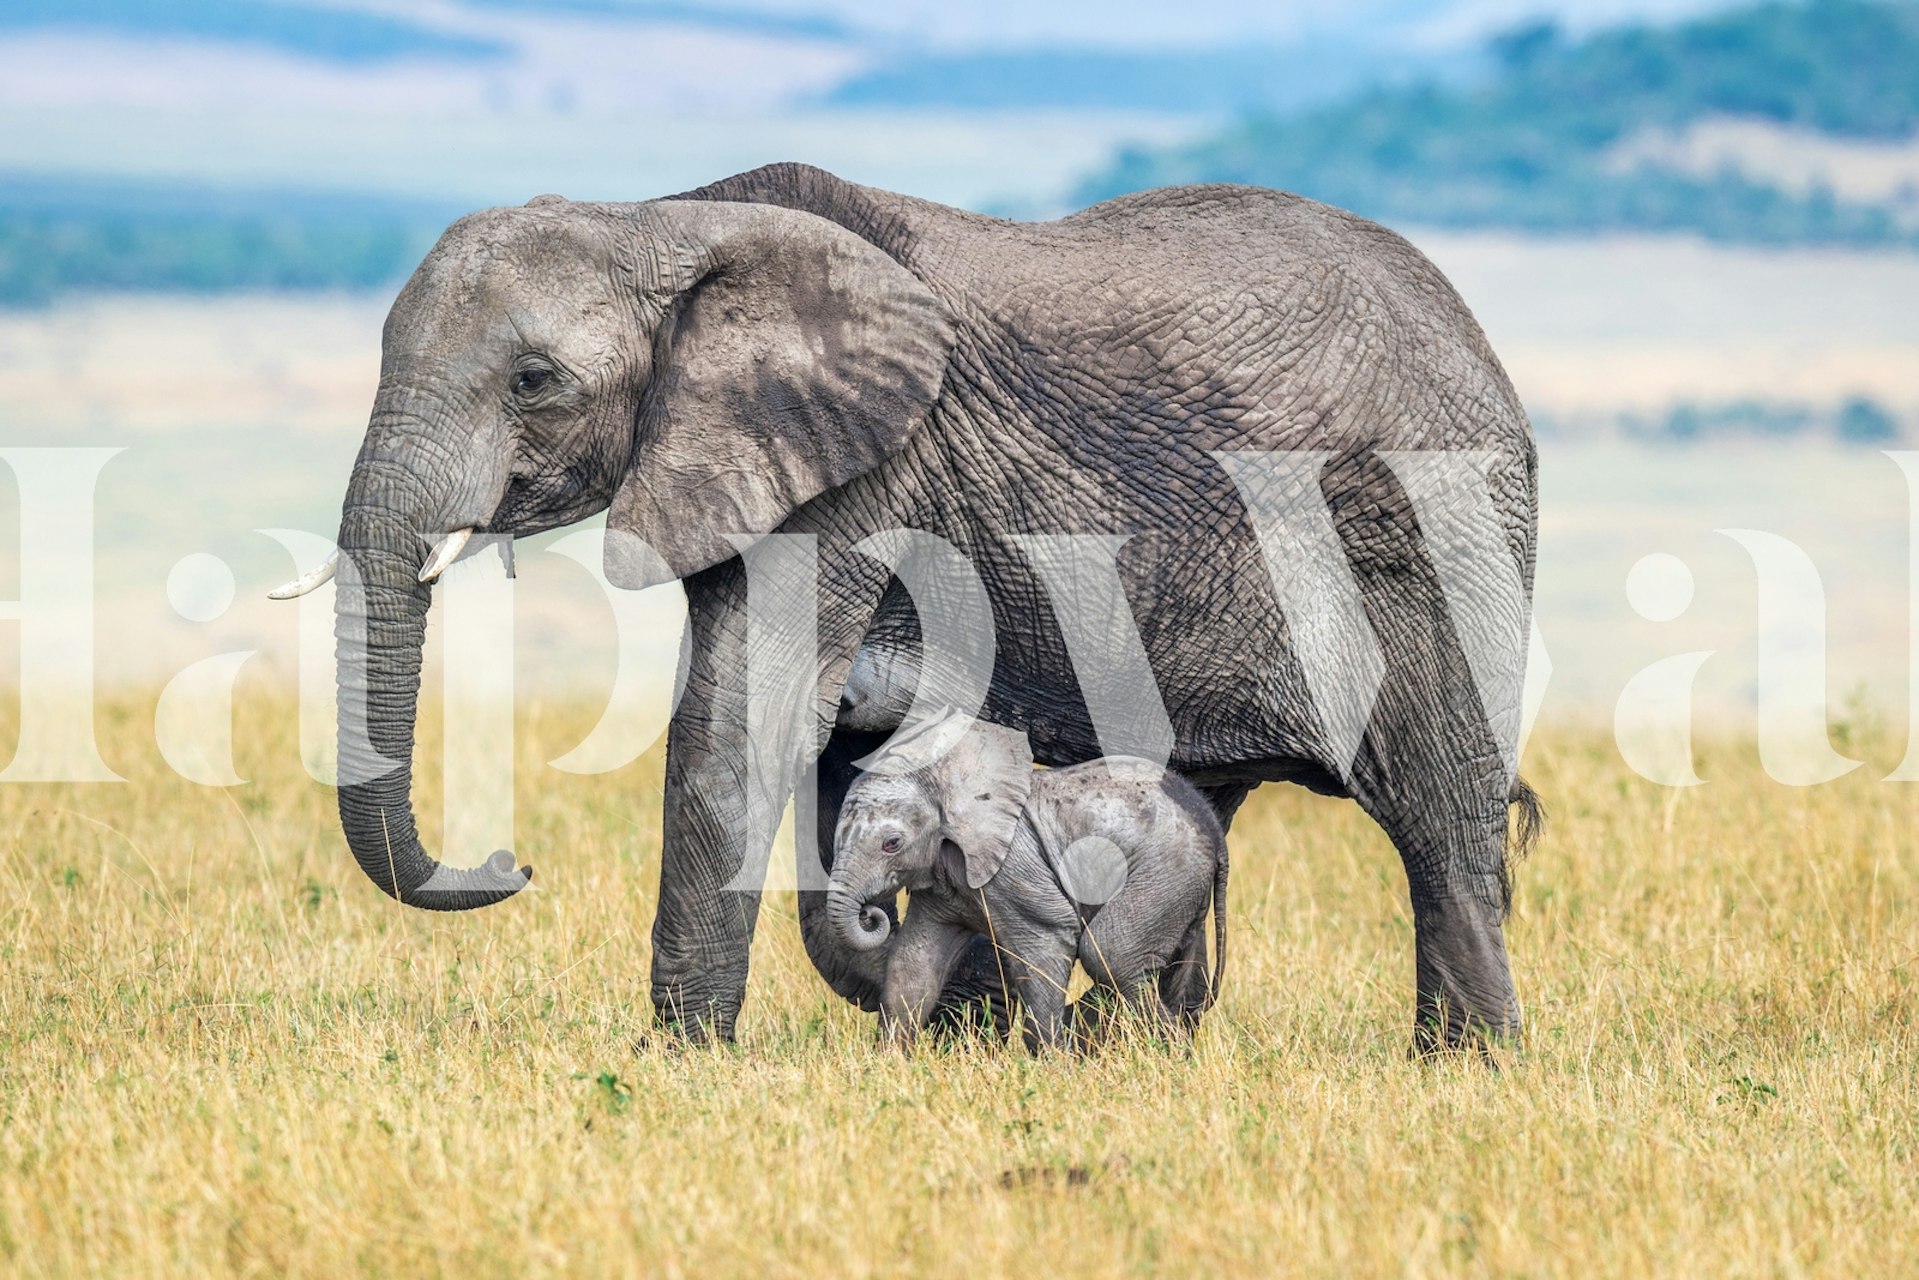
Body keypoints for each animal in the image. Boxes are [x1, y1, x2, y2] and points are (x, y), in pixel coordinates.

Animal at [828, 713, 1228, 1052]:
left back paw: (1169, 1051)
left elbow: (1044, 946)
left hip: (1165, 869)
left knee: (1111, 952)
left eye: (891, 844)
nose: (871, 914)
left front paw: (1053, 1064)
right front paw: (889, 1062)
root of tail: (1211, 824)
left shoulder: (1015, 869)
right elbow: (913, 962)